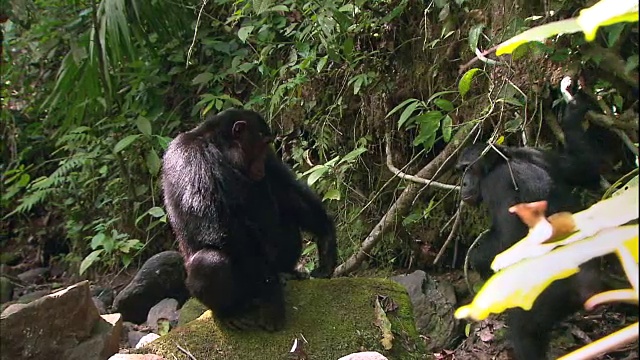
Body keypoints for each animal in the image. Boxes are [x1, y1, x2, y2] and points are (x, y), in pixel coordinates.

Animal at [162, 107, 338, 332]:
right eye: (262, 144)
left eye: (267, 147)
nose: (262, 162)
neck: (222, 150)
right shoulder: (192, 159)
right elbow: (222, 230)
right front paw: (272, 298)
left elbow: (288, 192)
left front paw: (327, 244)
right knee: (210, 263)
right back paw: (232, 312)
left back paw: (288, 273)